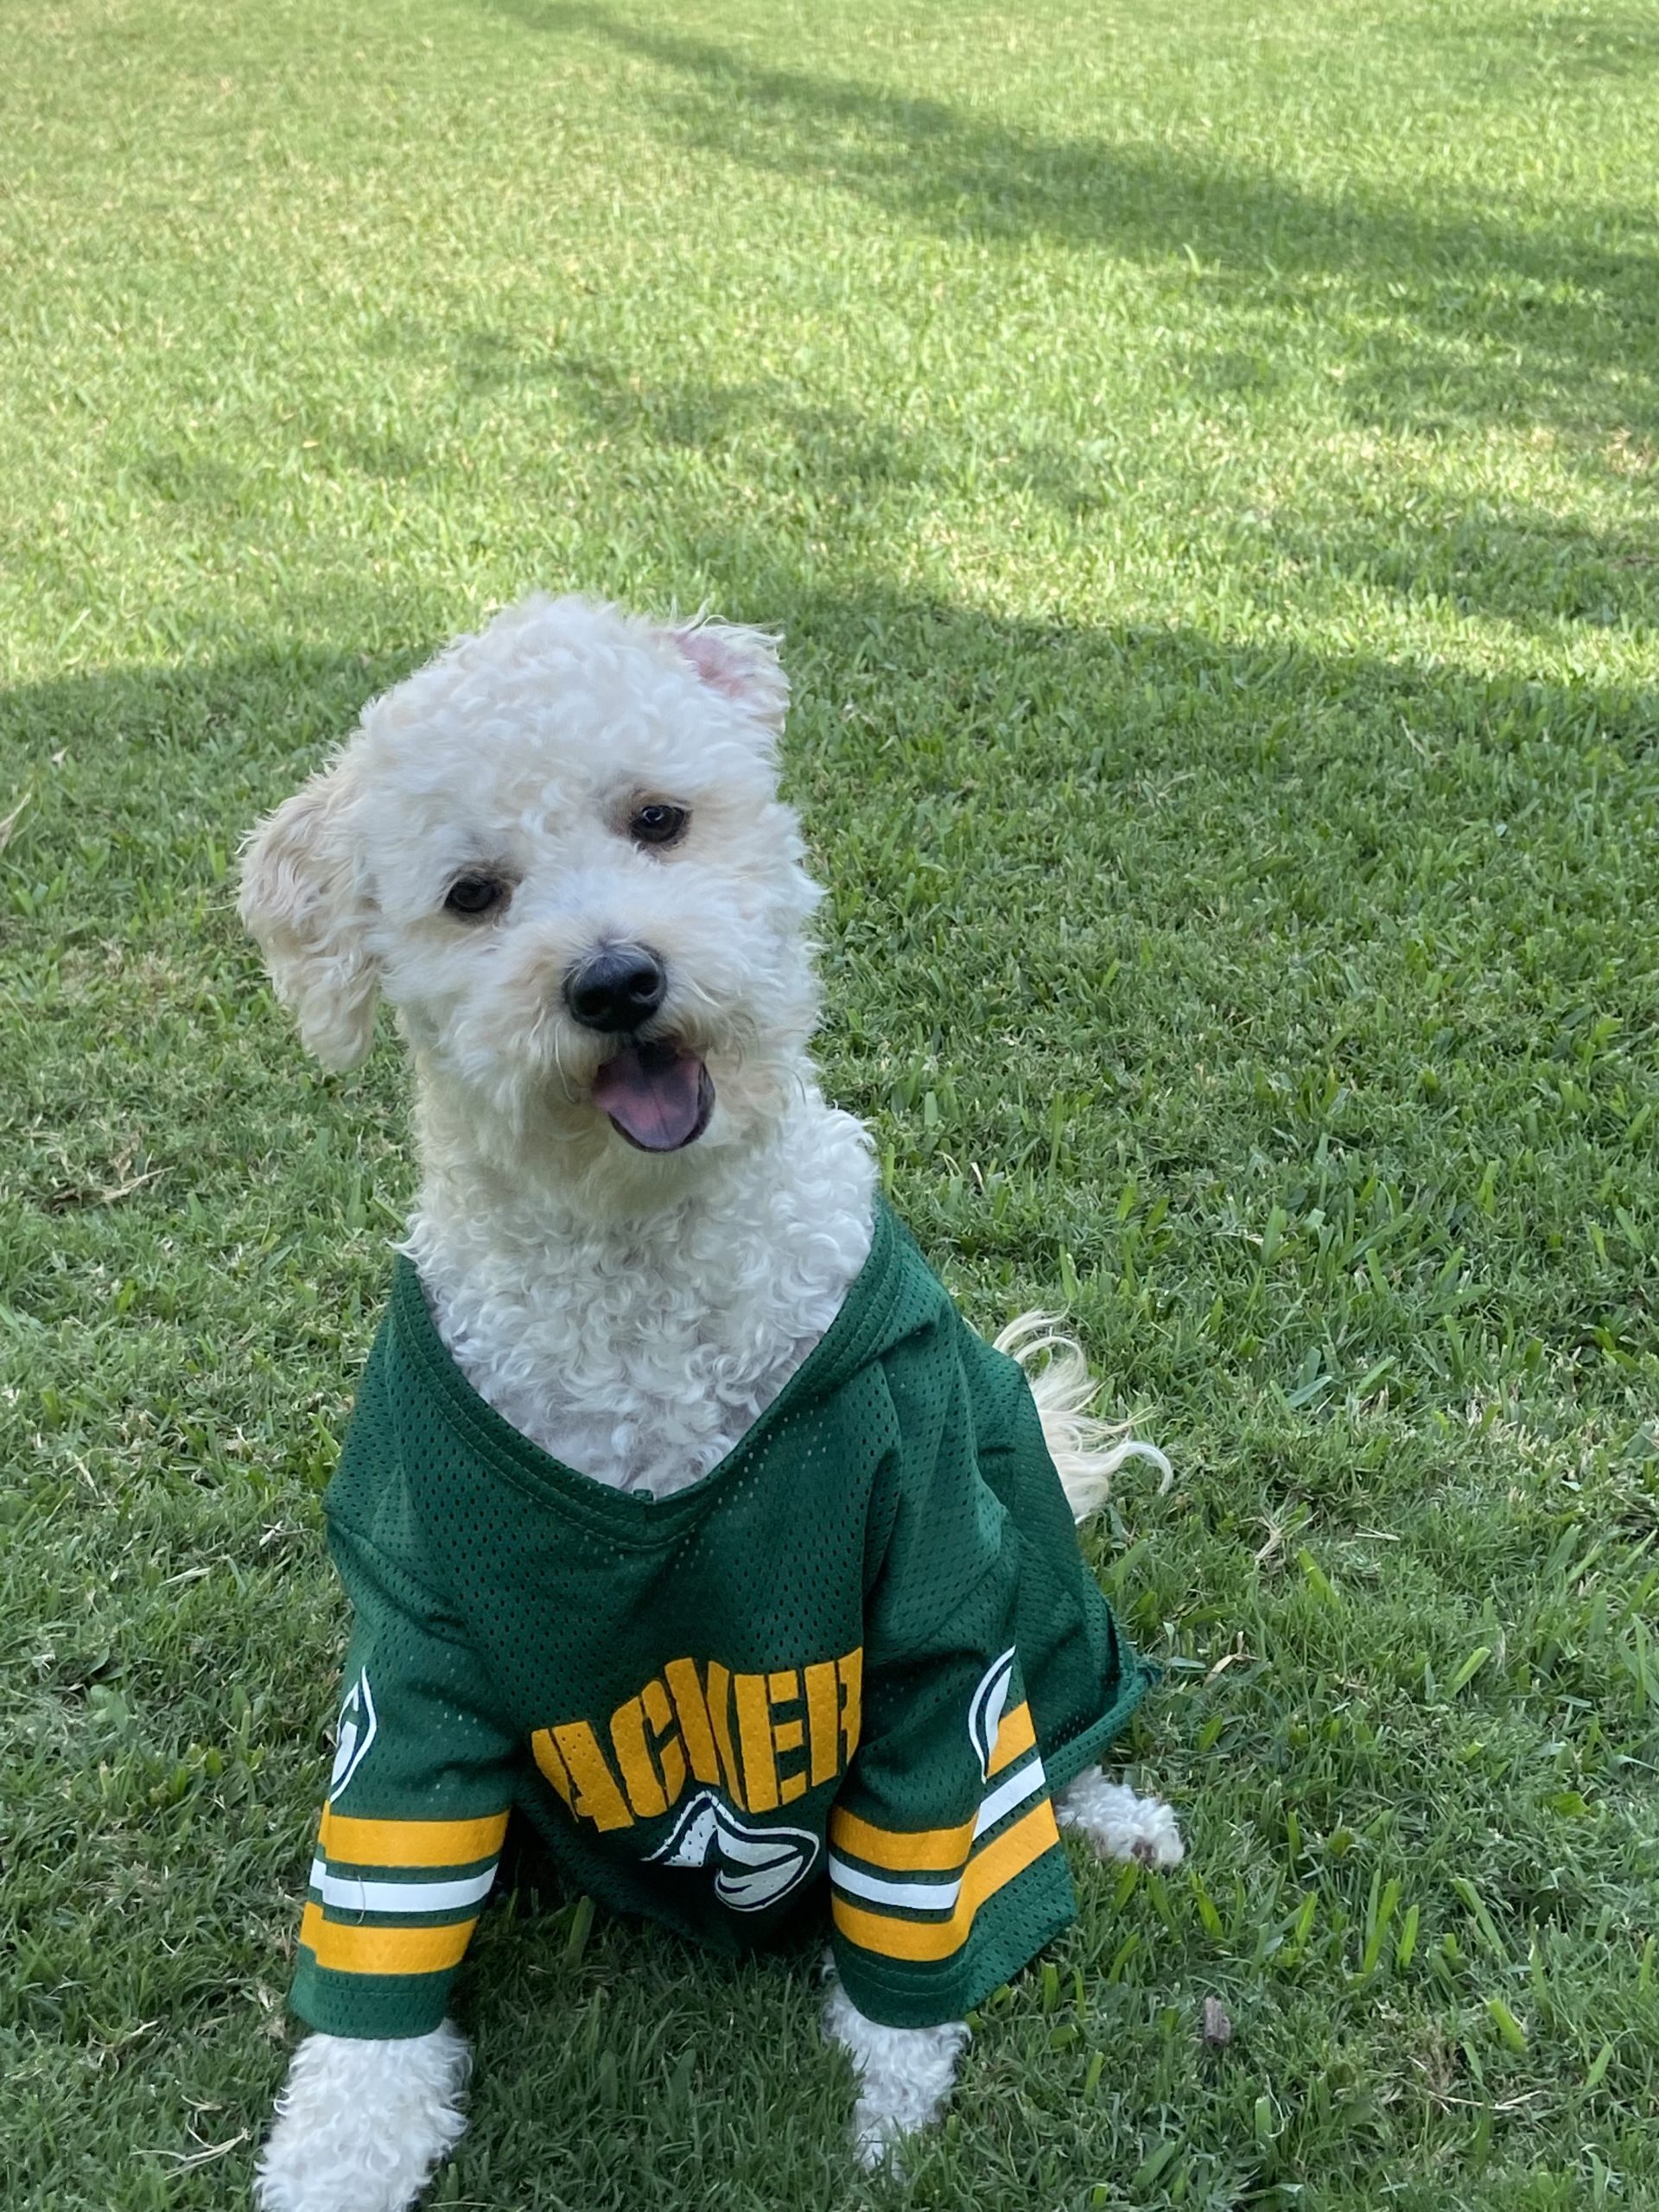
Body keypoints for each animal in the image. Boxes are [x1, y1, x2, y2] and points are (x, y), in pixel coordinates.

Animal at [243, 597, 1185, 2202]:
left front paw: (891, 2088)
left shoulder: (939, 1602)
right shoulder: (417, 1647)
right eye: (473, 895)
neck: (646, 1275)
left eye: (658, 819)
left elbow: (932, 1861)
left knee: (1059, 1737)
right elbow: (382, 1926)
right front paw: (337, 2149)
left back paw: (1112, 1817)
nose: (616, 981)